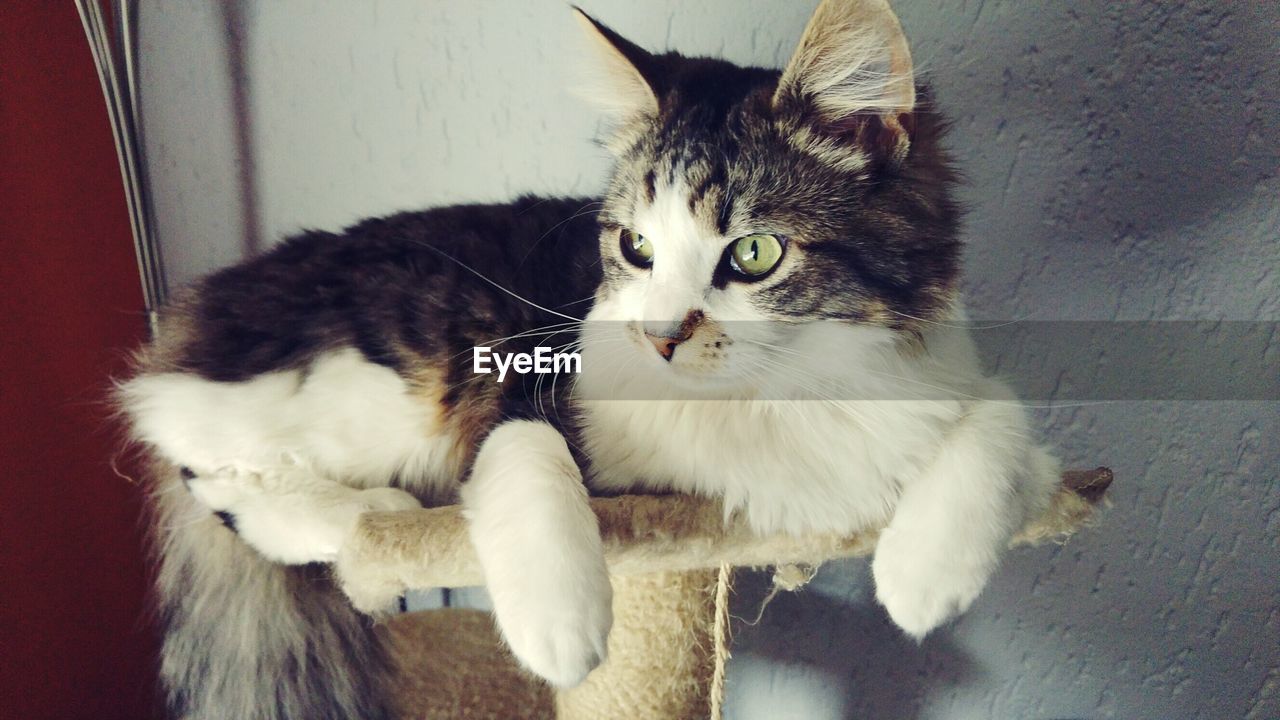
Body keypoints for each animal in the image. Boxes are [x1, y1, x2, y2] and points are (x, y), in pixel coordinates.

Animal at [117, 2, 1059, 712]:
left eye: (754, 254)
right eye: (637, 248)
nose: (661, 338)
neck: (776, 396)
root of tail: (202, 304)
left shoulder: (944, 380)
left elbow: (1005, 418)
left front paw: (926, 577)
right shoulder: (523, 391)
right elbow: (533, 462)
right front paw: (561, 630)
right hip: (381, 382)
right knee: (207, 463)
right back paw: (365, 520)